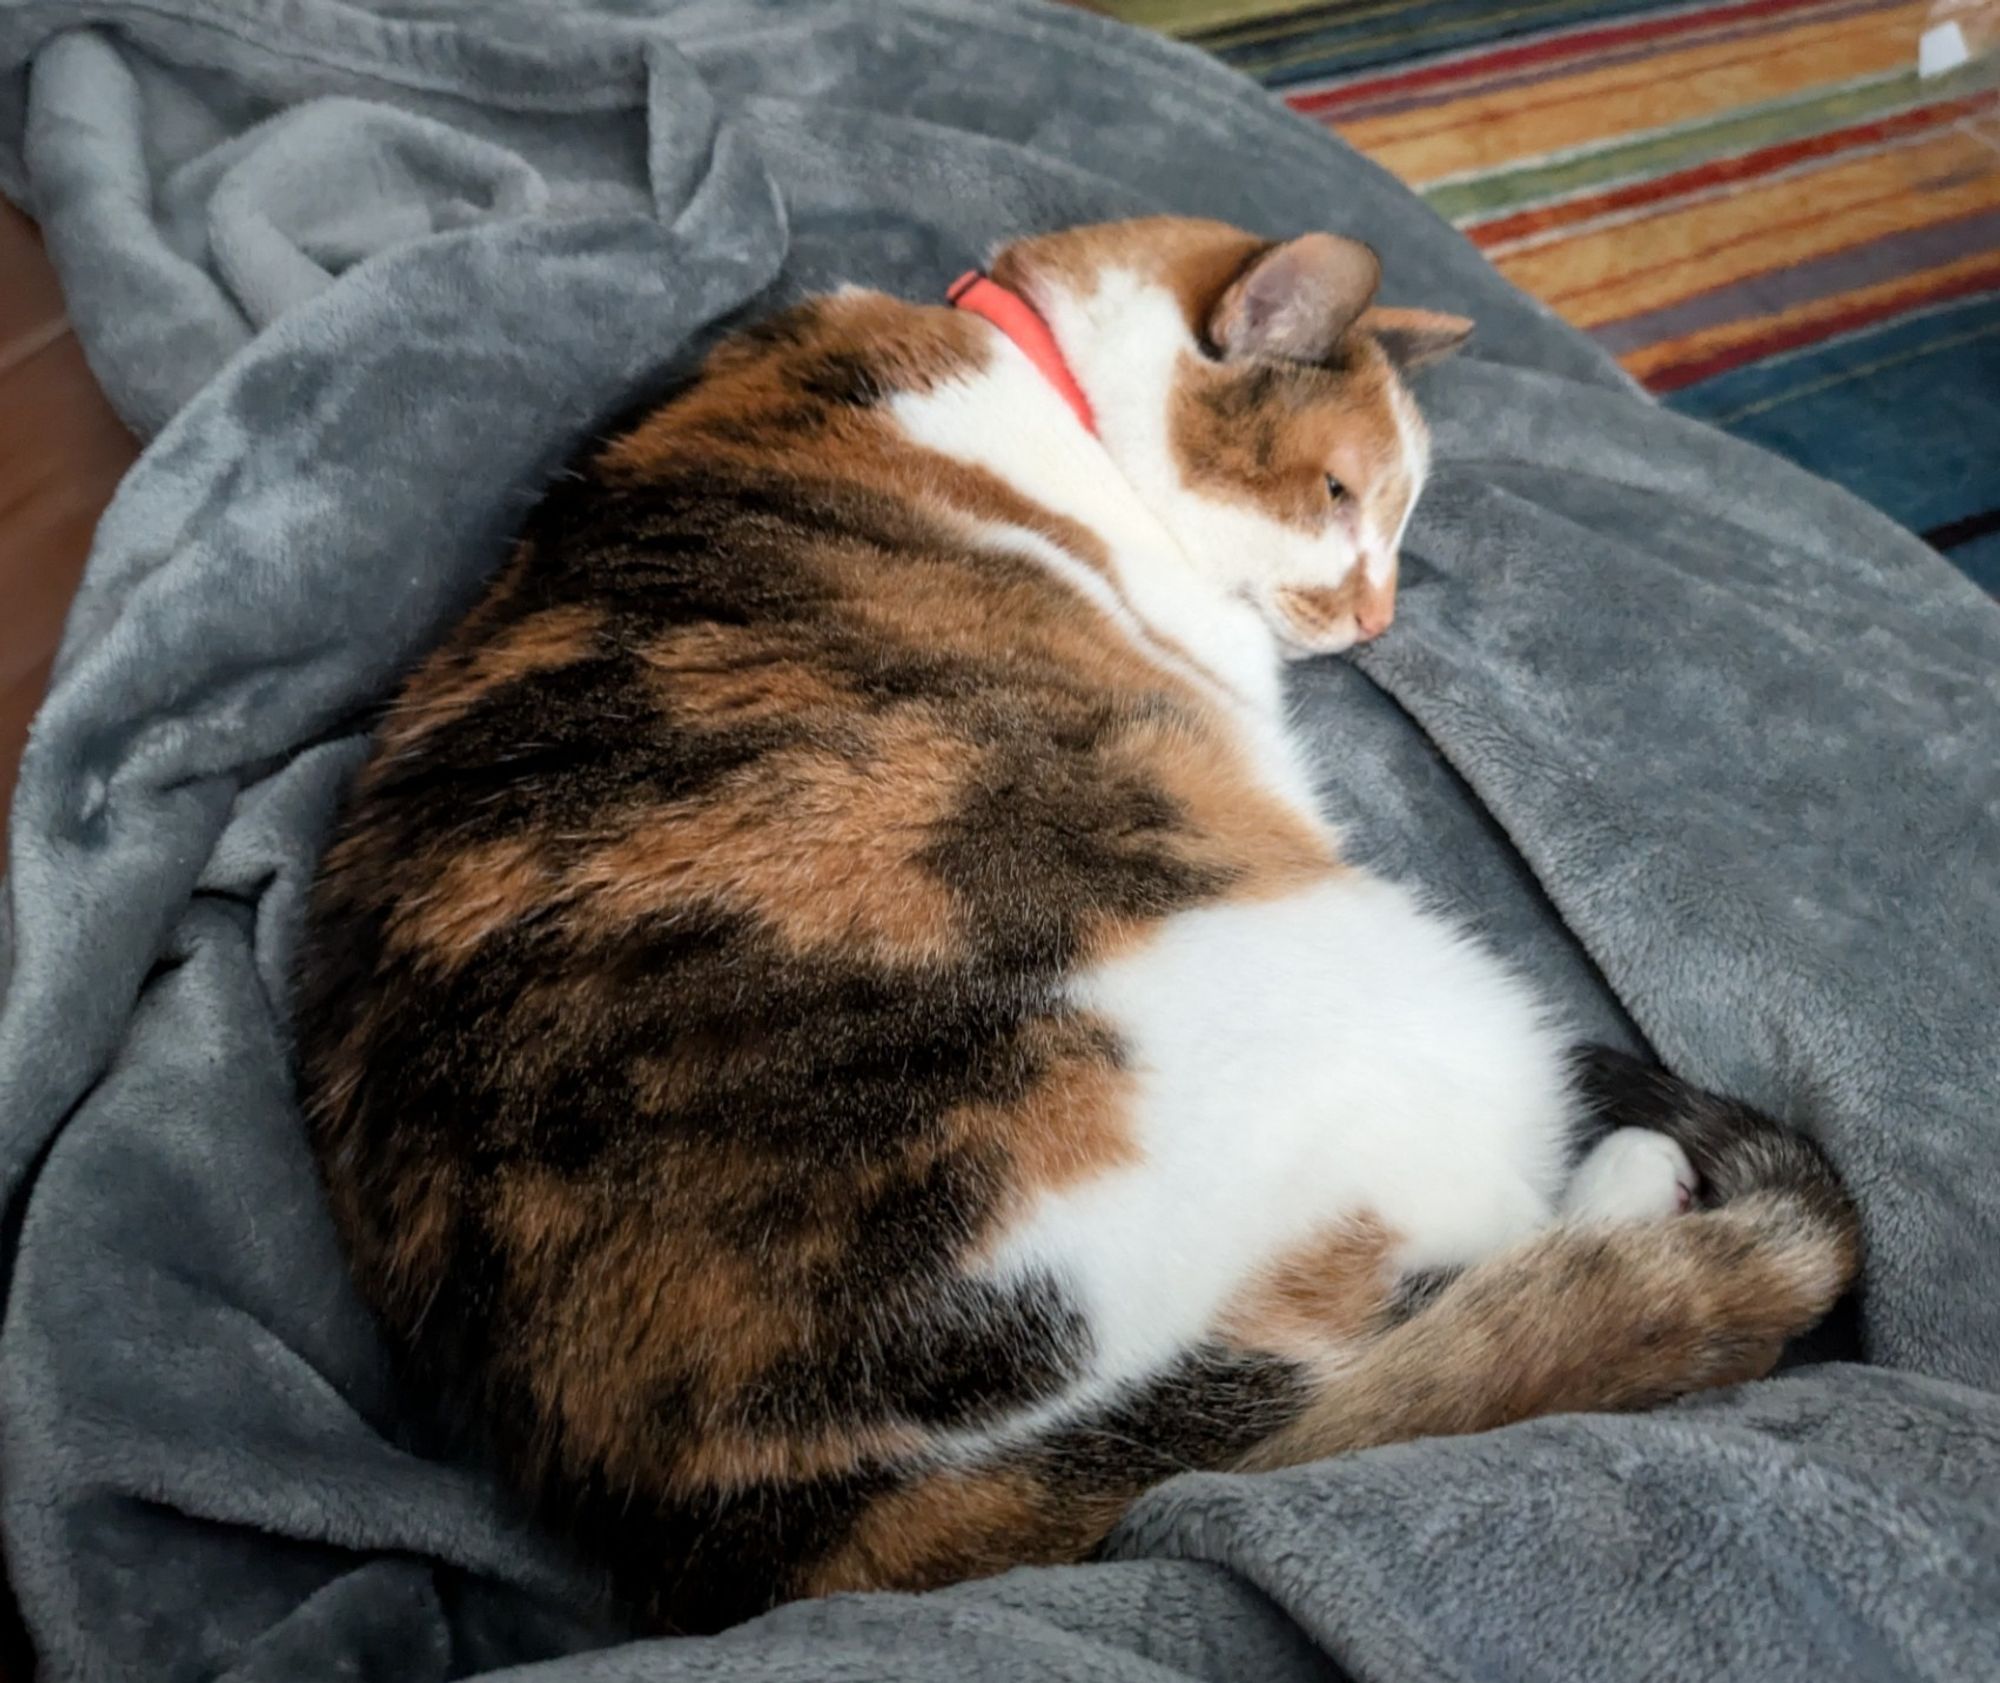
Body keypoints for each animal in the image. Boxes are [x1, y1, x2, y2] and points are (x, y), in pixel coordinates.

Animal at [292, 216, 1856, 1631]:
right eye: (1340, 491)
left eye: (1400, 517)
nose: (1377, 617)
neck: (1042, 366)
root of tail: (810, 1518)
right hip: (1423, 1018)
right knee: (1488, 1271)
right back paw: (1639, 1182)